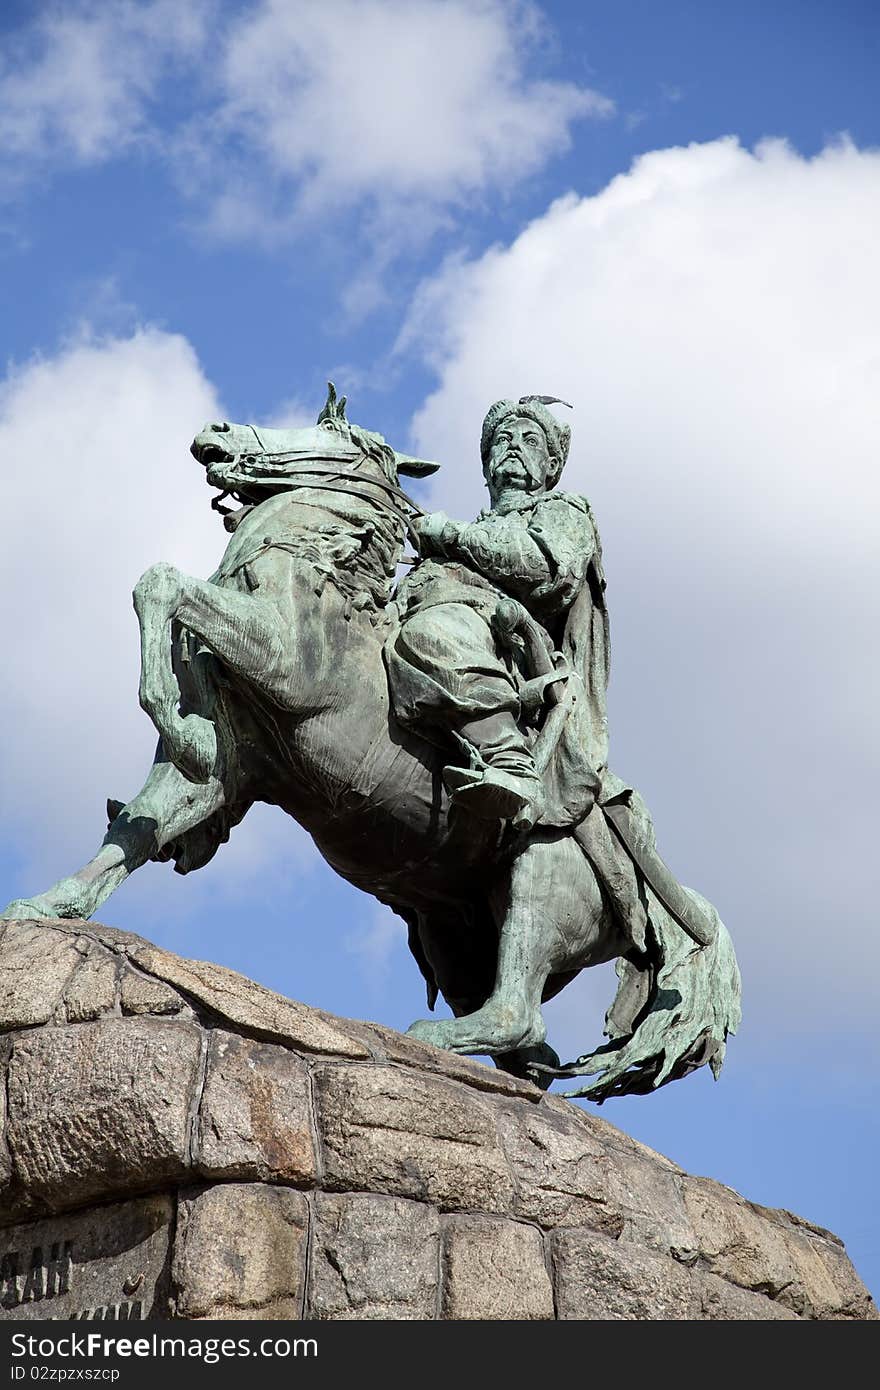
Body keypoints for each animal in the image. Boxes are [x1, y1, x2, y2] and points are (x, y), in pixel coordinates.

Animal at [1, 389, 739, 1095]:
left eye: (327, 429)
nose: (217, 431)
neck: (309, 575)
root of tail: (648, 883)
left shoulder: (282, 662)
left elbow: (161, 583)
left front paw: (167, 711)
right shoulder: (228, 767)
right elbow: (137, 826)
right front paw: (49, 906)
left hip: (543, 878)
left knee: (519, 1011)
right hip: (454, 937)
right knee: (530, 1050)